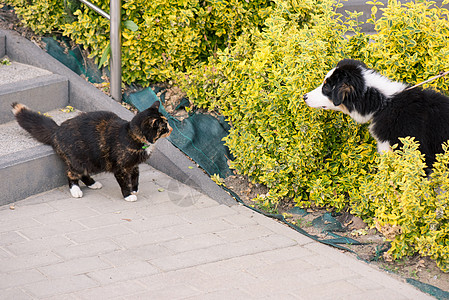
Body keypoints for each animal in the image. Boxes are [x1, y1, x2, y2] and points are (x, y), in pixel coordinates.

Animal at [12, 101, 171, 202]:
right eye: (163, 126)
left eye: (167, 123)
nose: (170, 129)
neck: (132, 135)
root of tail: (56, 130)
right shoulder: (120, 168)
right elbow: (124, 182)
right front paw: (128, 195)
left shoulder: (134, 165)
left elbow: (136, 176)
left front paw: (135, 189)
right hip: (79, 160)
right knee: (71, 174)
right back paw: (76, 190)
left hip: (90, 161)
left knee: (83, 174)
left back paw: (93, 184)